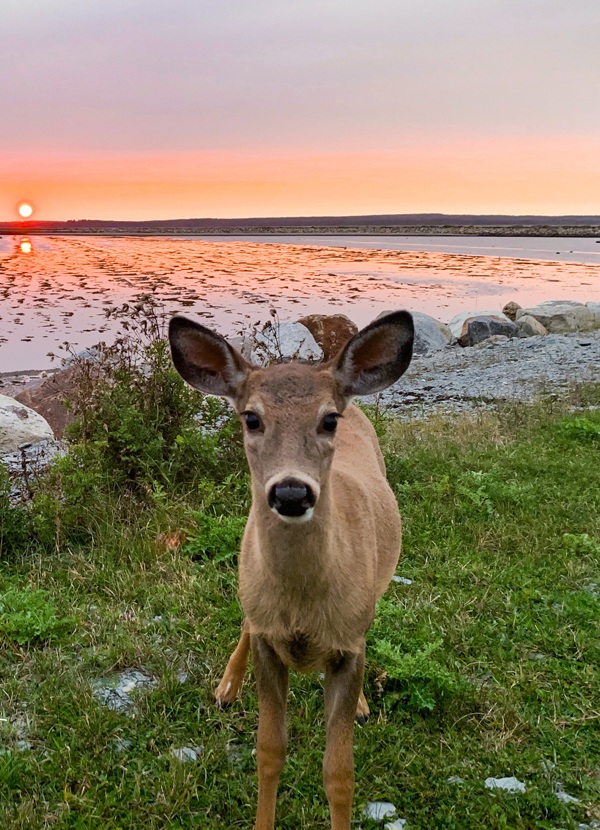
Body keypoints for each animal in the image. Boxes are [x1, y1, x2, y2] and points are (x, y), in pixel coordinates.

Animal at [168, 310, 414, 830]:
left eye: (328, 419)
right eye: (251, 417)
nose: (291, 493)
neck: (303, 606)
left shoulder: (348, 647)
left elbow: (339, 772)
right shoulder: (269, 641)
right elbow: (269, 752)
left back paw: (362, 705)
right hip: (248, 572)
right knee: (245, 616)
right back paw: (226, 687)